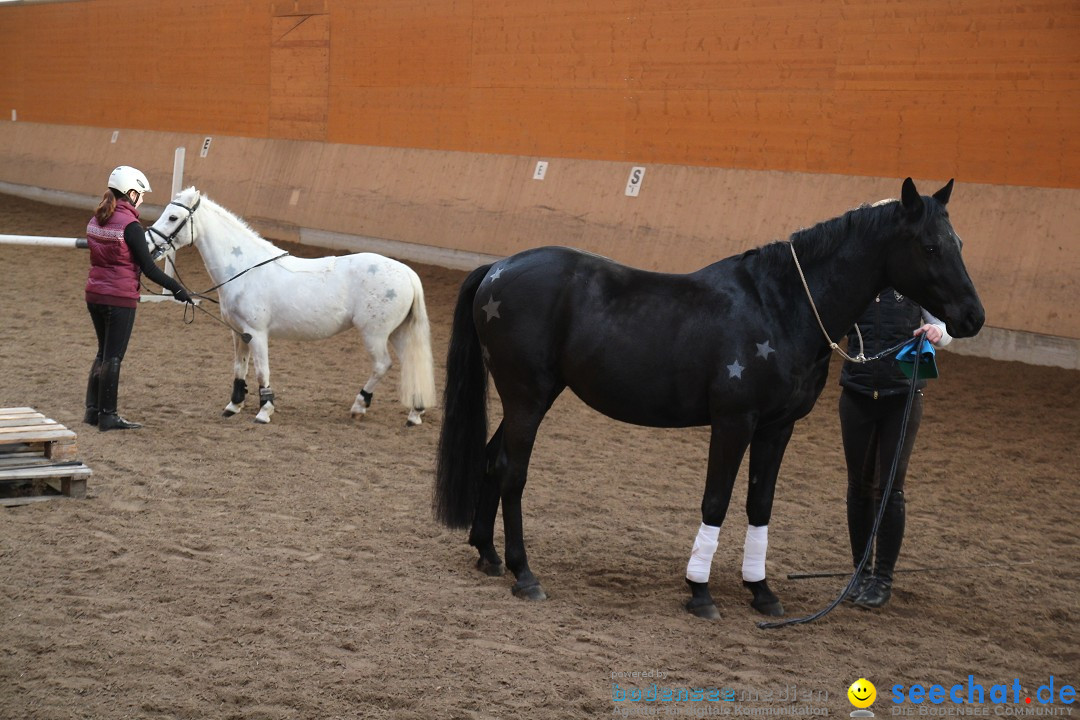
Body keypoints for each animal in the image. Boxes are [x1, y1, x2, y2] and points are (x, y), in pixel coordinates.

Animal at [145, 187, 436, 427]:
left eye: (173, 217)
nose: (148, 245)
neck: (245, 269)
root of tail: (407, 272)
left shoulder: (256, 333)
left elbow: (261, 371)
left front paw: (264, 411)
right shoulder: (238, 332)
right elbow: (239, 368)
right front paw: (233, 406)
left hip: (374, 333)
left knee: (382, 365)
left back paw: (359, 407)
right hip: (397, 332)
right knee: (409, 363)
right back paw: (415, 412)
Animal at [434, 179, 984, 621]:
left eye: (959, 242)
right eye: (930, 246)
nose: (973, 317)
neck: (780, 306)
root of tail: (499, 268)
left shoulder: (777, 427)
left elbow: (760, 503)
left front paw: (761, 591)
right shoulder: (734, 421)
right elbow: (716, 499)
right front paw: (700, 593)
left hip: (532, 397)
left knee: (492, 458)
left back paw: (488, 555)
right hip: (526, 397)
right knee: (512, 472)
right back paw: (524, 574)